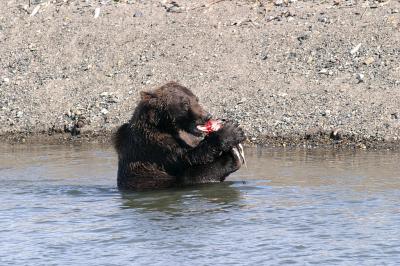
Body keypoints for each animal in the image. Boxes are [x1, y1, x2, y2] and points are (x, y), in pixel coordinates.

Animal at [111, 82, 244, 190]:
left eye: (196, 99)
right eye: (185, 103)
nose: (207, 116)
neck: (165, 125)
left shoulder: (186, 137)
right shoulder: (153, 144)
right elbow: (187, 157)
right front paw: (231, 131)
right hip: (154, 181)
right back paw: (232, 158)